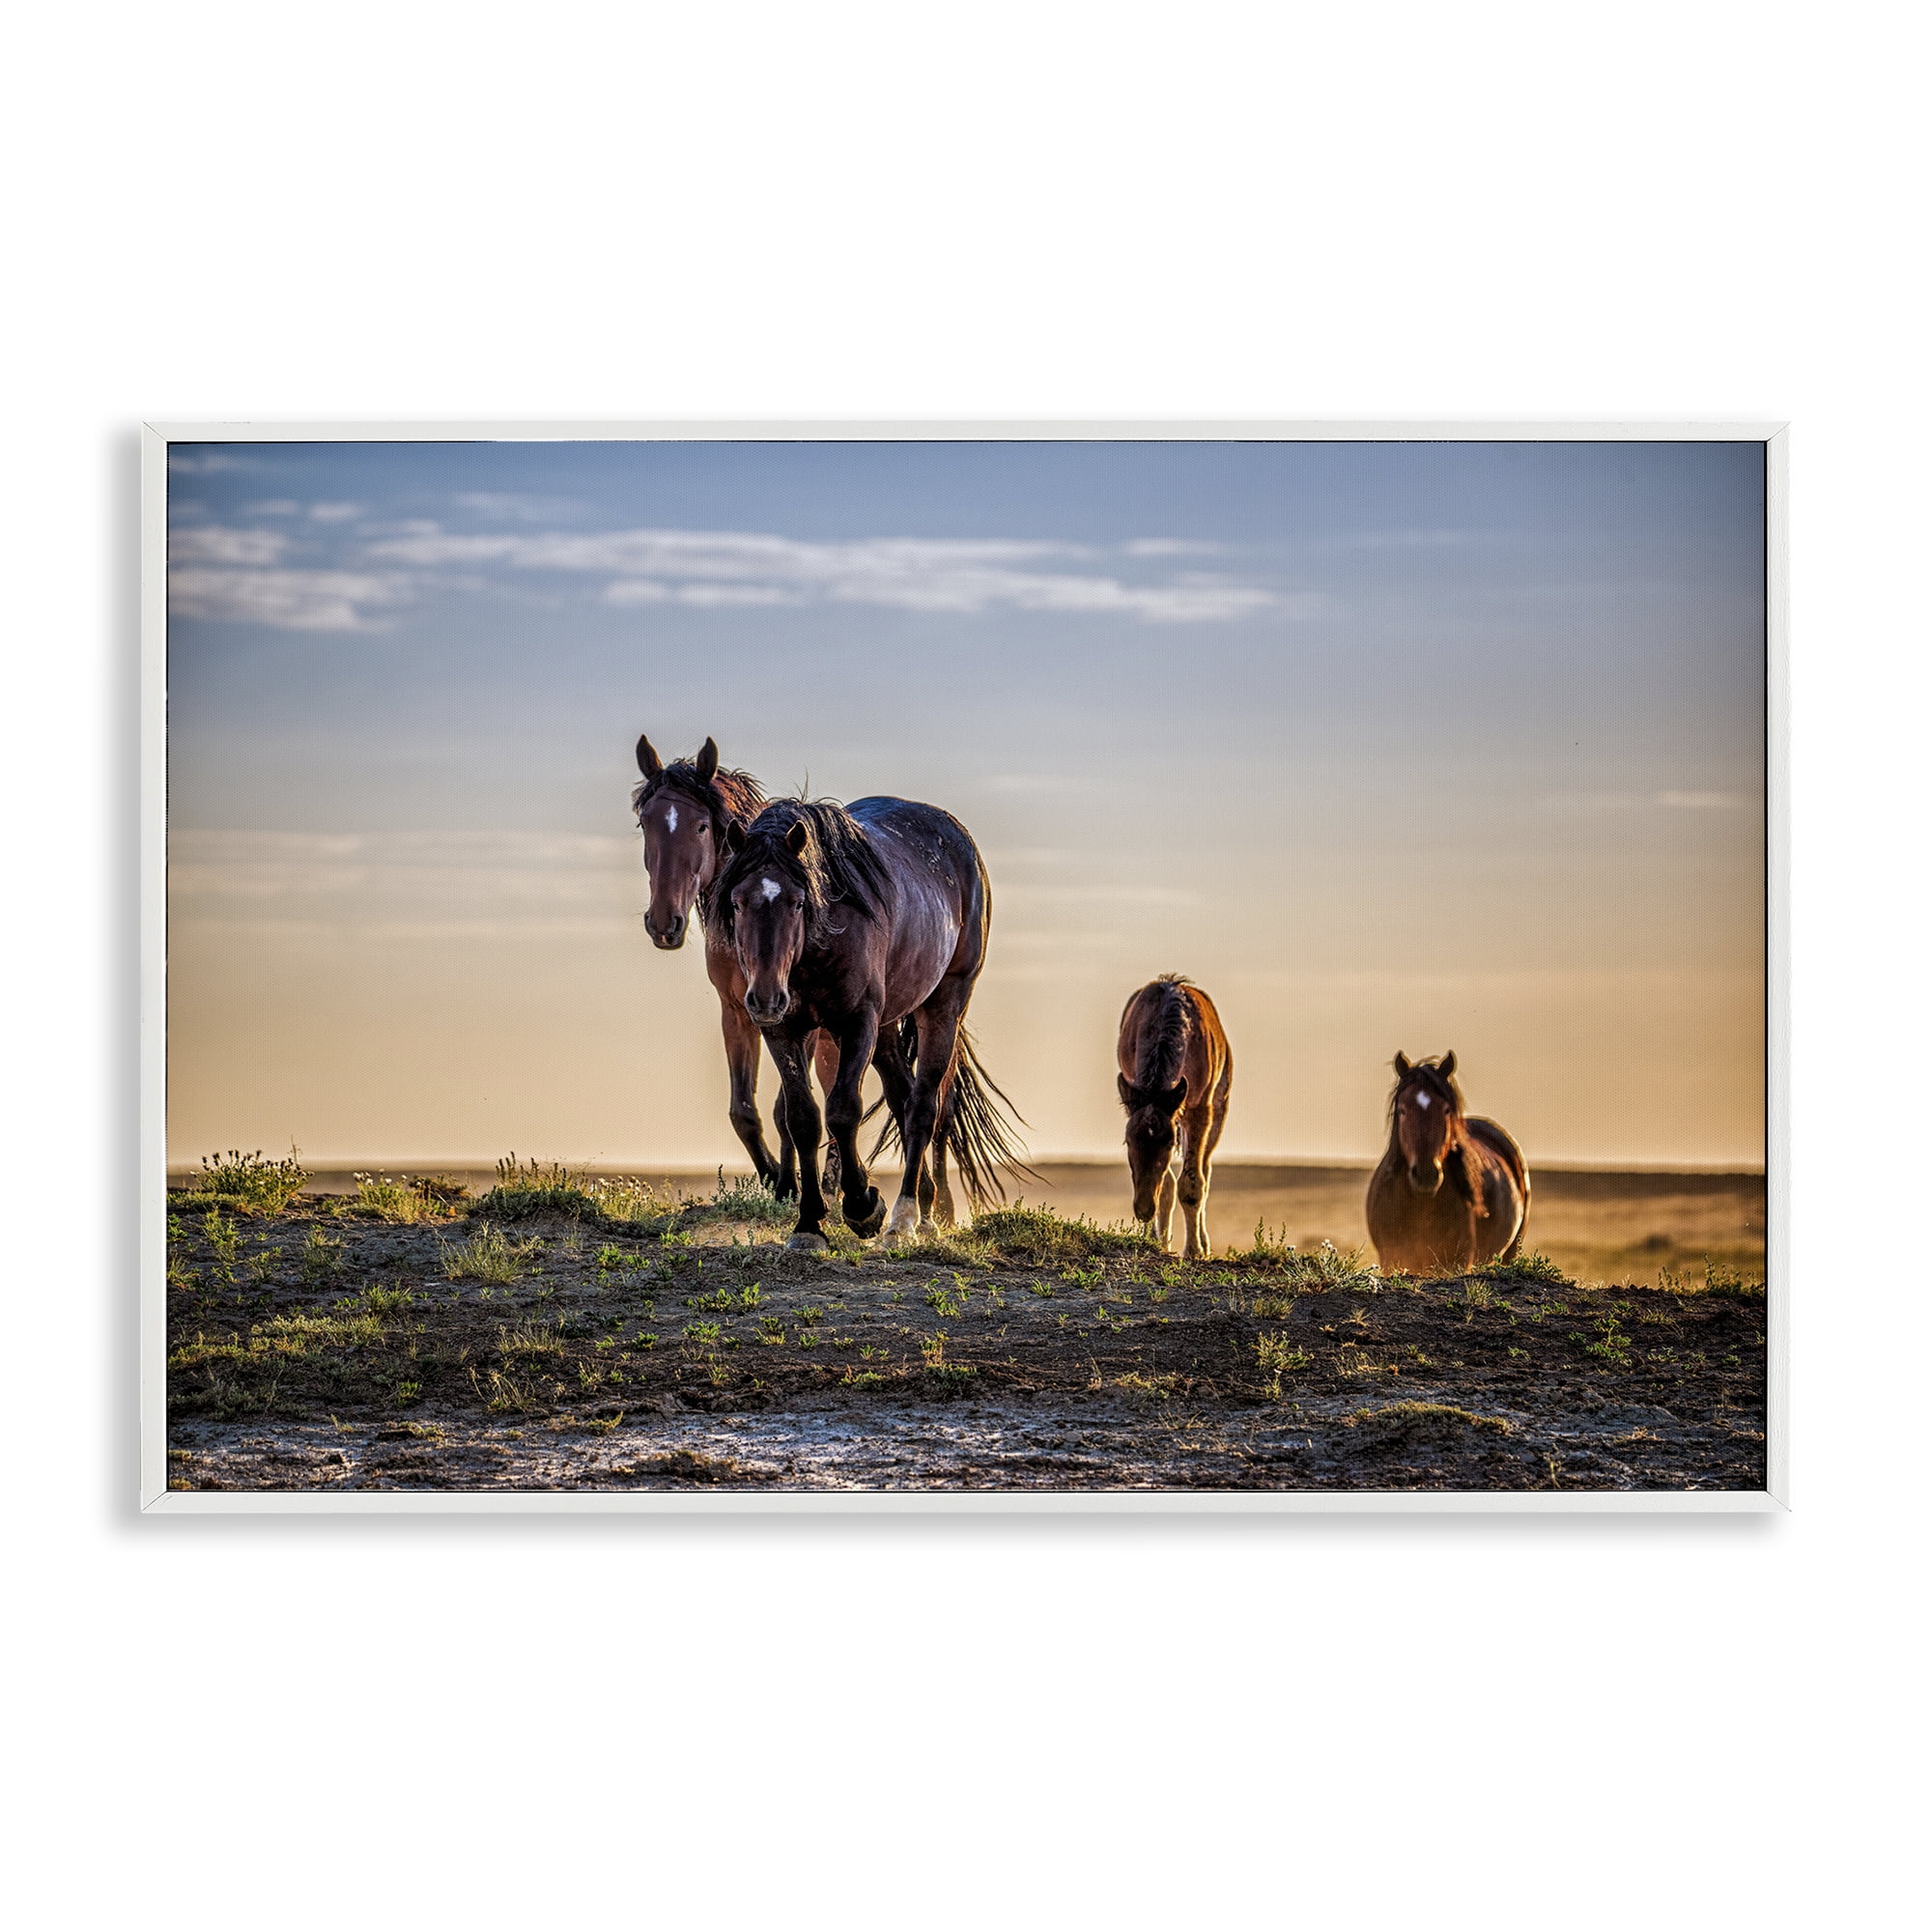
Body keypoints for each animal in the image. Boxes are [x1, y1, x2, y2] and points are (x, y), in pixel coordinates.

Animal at [714, 794, 1031, 1250]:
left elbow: (843, 1110)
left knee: (922, 1107)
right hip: (885, 1029)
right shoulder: (784, 1029)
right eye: (737, 903)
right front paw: (808, 1224)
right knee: (902, 1097)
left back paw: (903, 1219)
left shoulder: (857, 1021)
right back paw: (925, 1211)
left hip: (944, 1005)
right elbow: (803, 1118)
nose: (765, 997)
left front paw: (863, 1207)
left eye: (797, 902)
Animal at [1116, 974, 1233, 1257]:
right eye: (1128, 1142)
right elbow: (1167, 1183)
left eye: (1168, 1144)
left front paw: (1193, 1250)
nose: (1143, 1208)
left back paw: (1203, 1244)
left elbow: (1192, 1184)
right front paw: (1154, 1240)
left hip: (1218, 1109)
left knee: (1205, 1171)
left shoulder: (1200, 1109)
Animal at [1365, 1051, 1530, 1274]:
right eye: (1402, 1110)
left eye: (1445, 1110)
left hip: (1511, 1251)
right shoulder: (1390, 1259)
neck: (1421, 1205)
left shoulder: (1456, 1263)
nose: (1426, 1175)